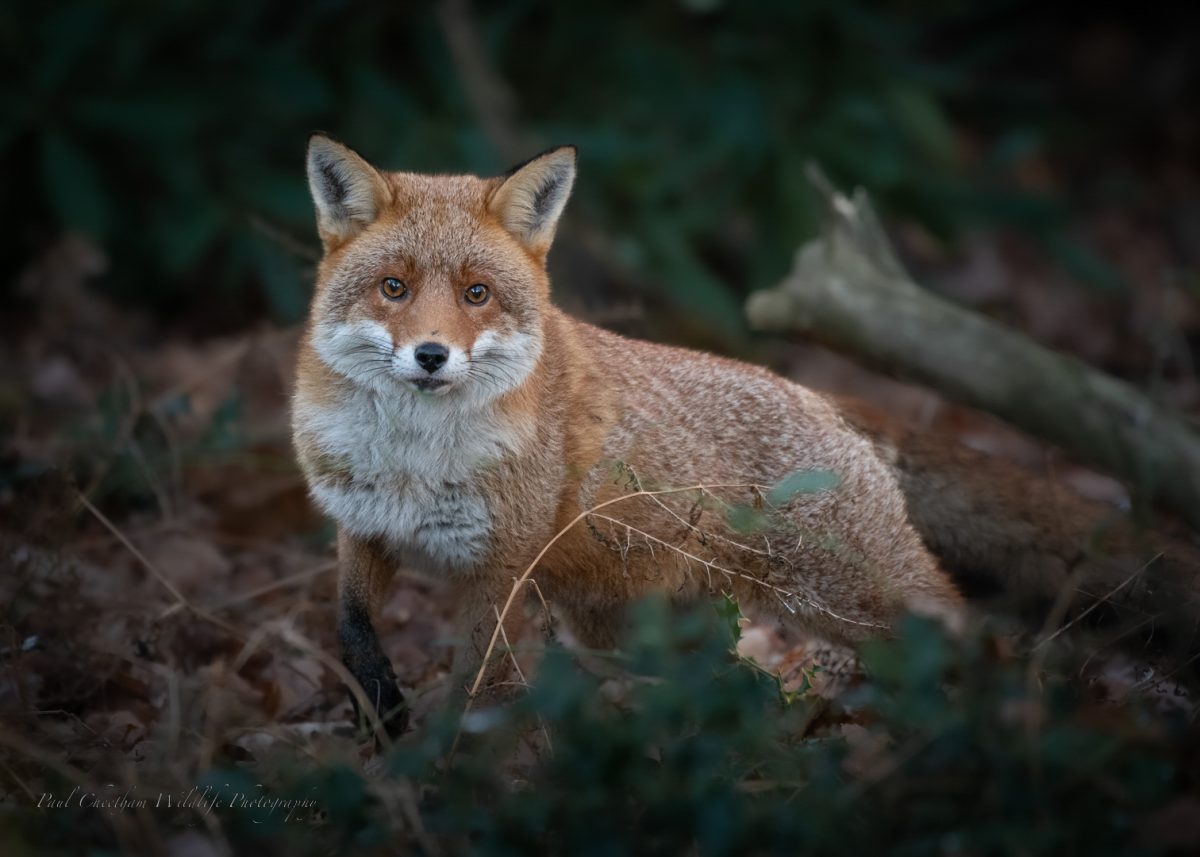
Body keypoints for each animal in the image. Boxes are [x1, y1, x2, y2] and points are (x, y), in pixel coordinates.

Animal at [292, 136, 1199, 733]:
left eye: (477, 293)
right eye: (394, 287)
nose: (431, 355)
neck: (412, 460)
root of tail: (821, 396)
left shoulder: (503, 566)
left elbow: (474, 690)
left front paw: (445, 769)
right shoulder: (362, 525)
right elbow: (351, 627)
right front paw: (383, 713)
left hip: (844, 594)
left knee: (961, 627)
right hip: (632, 621)